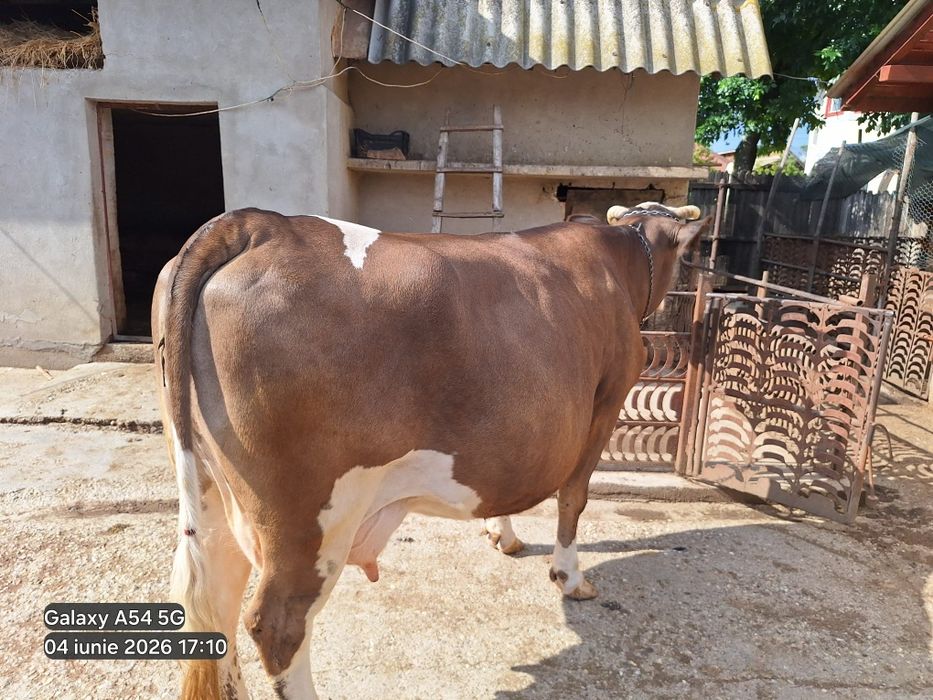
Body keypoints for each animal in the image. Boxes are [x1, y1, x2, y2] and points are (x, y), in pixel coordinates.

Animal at [152, 202, 708, 699]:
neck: (618, 259)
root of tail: (258, 223)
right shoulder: (607, 400)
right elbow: (574, 497)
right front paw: (570, 578)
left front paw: (502, 534)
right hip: (308, 515)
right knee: (277, 622)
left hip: (210, 488)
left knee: (216, 603)